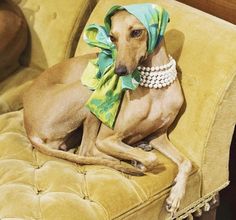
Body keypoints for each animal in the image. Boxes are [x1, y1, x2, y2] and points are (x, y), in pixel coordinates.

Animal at [22, 9, 192, 213]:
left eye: (136, 32)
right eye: (112, 37)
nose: (119, 71)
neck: (155, 91)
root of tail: (29, 127)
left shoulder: (159, 136)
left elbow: (187, 162)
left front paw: (176, 196)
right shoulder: (106, 138)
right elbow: (150, 159)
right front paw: (139, 161)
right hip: (89, 91)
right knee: (86, 151)